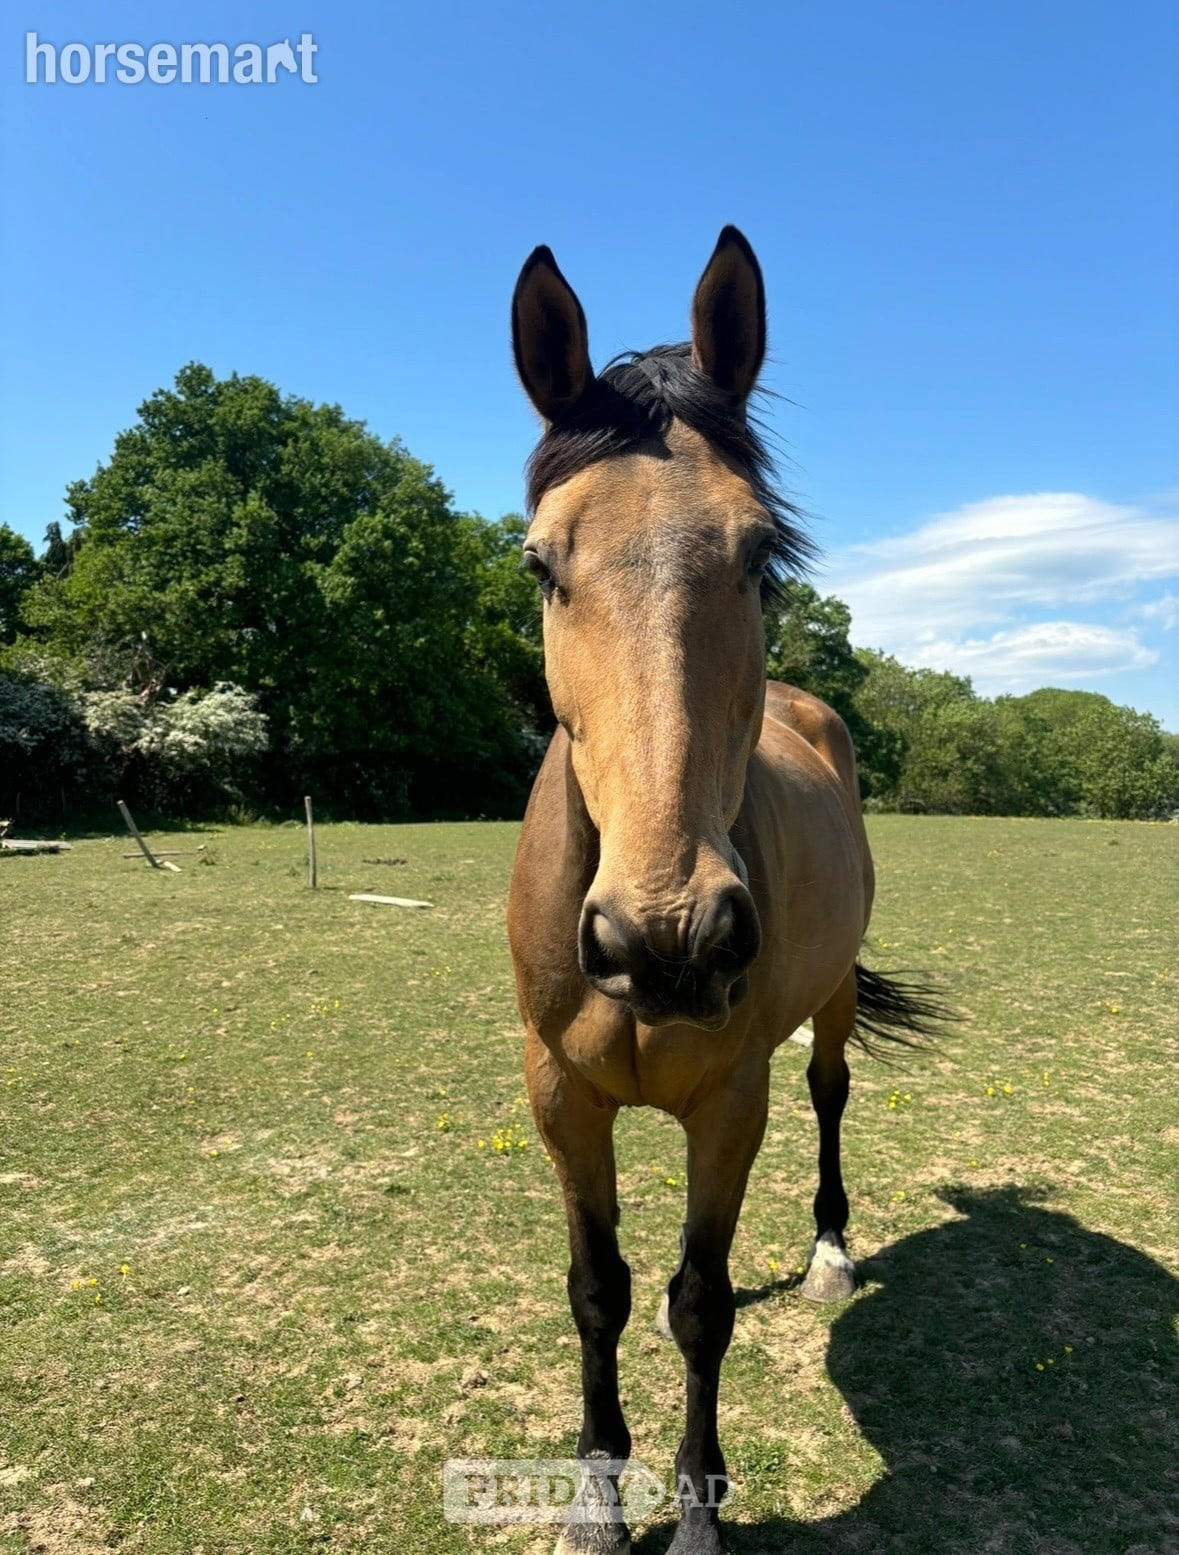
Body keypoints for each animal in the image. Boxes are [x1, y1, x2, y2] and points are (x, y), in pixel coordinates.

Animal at [506, 226, 942, 1555]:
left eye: (759, 556)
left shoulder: (730, 1104)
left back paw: (833, 1250)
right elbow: (598, 1290)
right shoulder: (560, 1098)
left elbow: (703, 1301)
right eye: (540, 562)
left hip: (829, 1009)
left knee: (832, 1094)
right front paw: (597, 1495)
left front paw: (697, 1512)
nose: (668, 938)